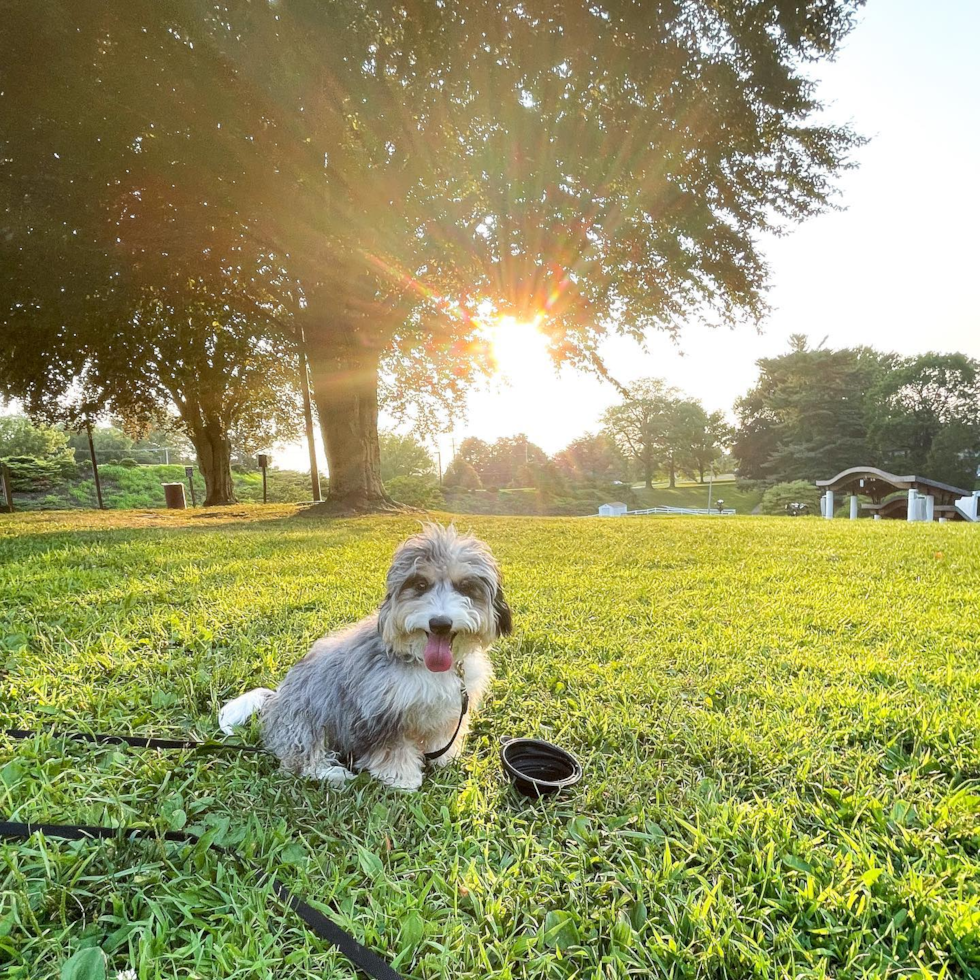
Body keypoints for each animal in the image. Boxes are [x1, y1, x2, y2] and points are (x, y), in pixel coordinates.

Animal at [219, 524, 512, 792]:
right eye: (420, 585)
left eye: (465, 586)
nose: (440, 623)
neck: (423, 662)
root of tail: (275, 699)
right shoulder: (381, 714)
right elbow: (394, 750)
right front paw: (402, 779)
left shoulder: (449, 712)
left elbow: (441, 739)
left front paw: (445, 760)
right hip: (306, 720)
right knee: (303, 761)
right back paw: (332, 774)